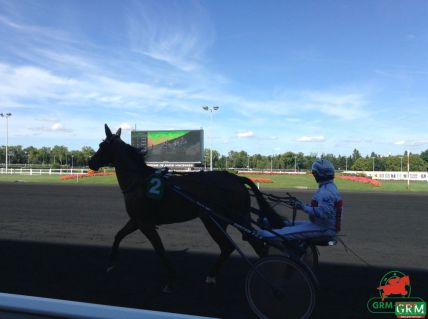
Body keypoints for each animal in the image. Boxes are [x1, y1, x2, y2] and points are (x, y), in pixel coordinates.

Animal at [87, 124, 282, 292]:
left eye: (101, 145)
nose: (90, 162)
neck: (139, 182)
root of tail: (235, 178)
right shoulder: (137, 220)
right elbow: (118, 235)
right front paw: (111, 263)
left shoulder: (145, 223)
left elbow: (160, 250)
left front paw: (171, 280)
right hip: (219, 220)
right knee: (231, 246)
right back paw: (213, 275)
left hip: (223, 219)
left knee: (252, 244)